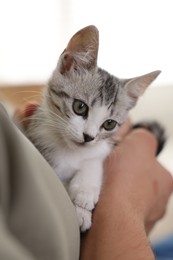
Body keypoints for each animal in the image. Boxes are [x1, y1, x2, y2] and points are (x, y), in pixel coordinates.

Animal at [25, 24, 161, 232]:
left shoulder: (103, 146)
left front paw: (85, 191)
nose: (88, 136)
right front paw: (79, 211)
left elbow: (94, 159)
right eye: (80, 107)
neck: (69, 151)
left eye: (109, 124)